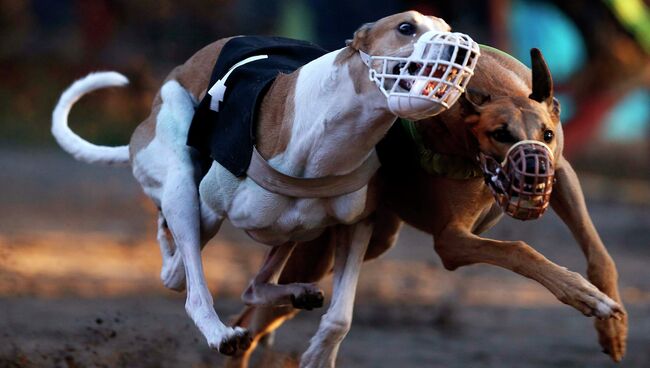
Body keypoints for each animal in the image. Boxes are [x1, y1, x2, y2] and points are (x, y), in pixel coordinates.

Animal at [229, 46, 628, 366]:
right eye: (499, 134)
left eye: (546, 134)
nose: (533, 180)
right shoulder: (451, 243)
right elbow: (519, 250)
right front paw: (583, 296)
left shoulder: (560, 171)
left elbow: (599, 254)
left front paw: (610, 323)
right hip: (315, 258)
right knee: (247, 320)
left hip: (369, 241)